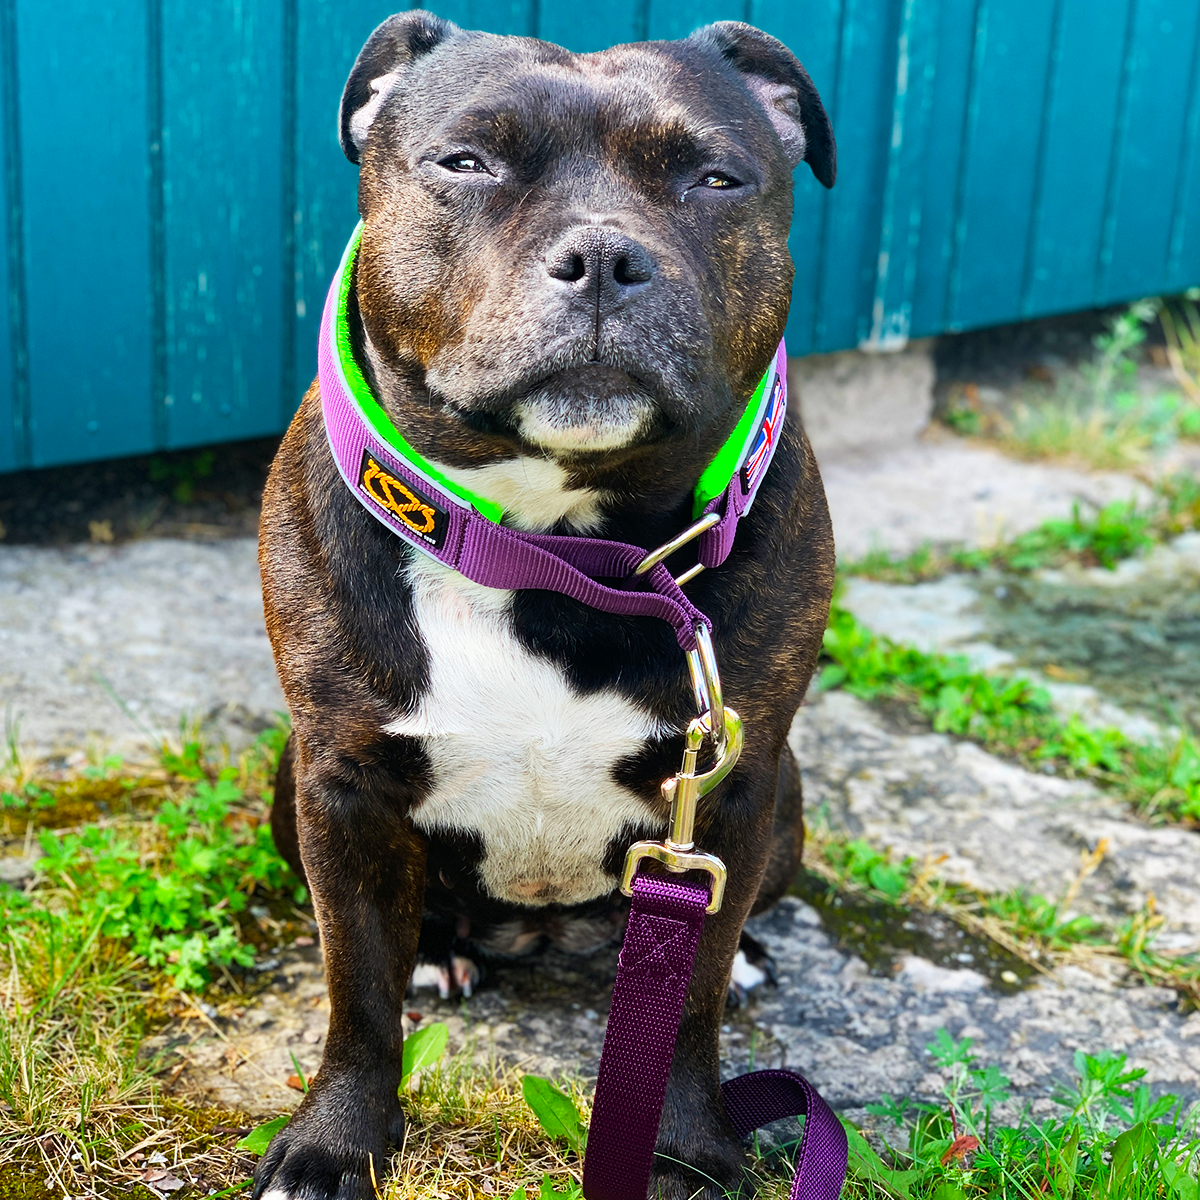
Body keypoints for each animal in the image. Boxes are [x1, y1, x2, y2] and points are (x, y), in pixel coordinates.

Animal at [253, 11, 835, 1200]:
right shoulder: (340, 787)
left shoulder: (736, 793)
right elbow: (356, 993)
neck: (558, 550)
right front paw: (335, 1141)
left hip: (789, 799)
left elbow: (691, 1004)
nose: (605, 257)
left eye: (716, 177)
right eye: (466, 163)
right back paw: (440, 950)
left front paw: (688, 1147)